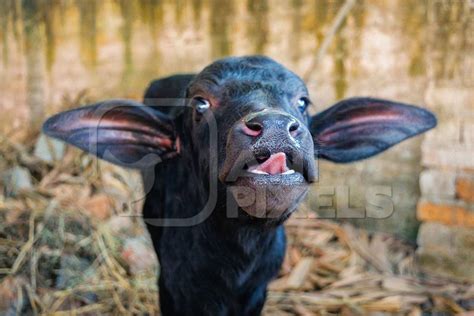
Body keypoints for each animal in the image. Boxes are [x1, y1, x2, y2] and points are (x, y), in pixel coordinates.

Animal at [42, 55, 436, 314]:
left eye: (303, 101)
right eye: (201, 103)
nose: (275, 126)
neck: (237, 253)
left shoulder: (258, 290)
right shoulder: (174, 286)